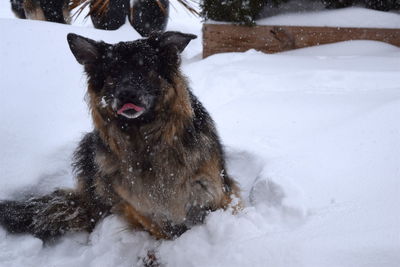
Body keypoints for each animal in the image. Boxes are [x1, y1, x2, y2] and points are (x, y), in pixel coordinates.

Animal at [0, 31, 241, 243]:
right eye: (113, 72)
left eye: (145, 67)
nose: (127, 94)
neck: (146, 143)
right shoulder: (140, 208)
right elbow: (165, 232)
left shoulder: (217, 194)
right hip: (90, 151)